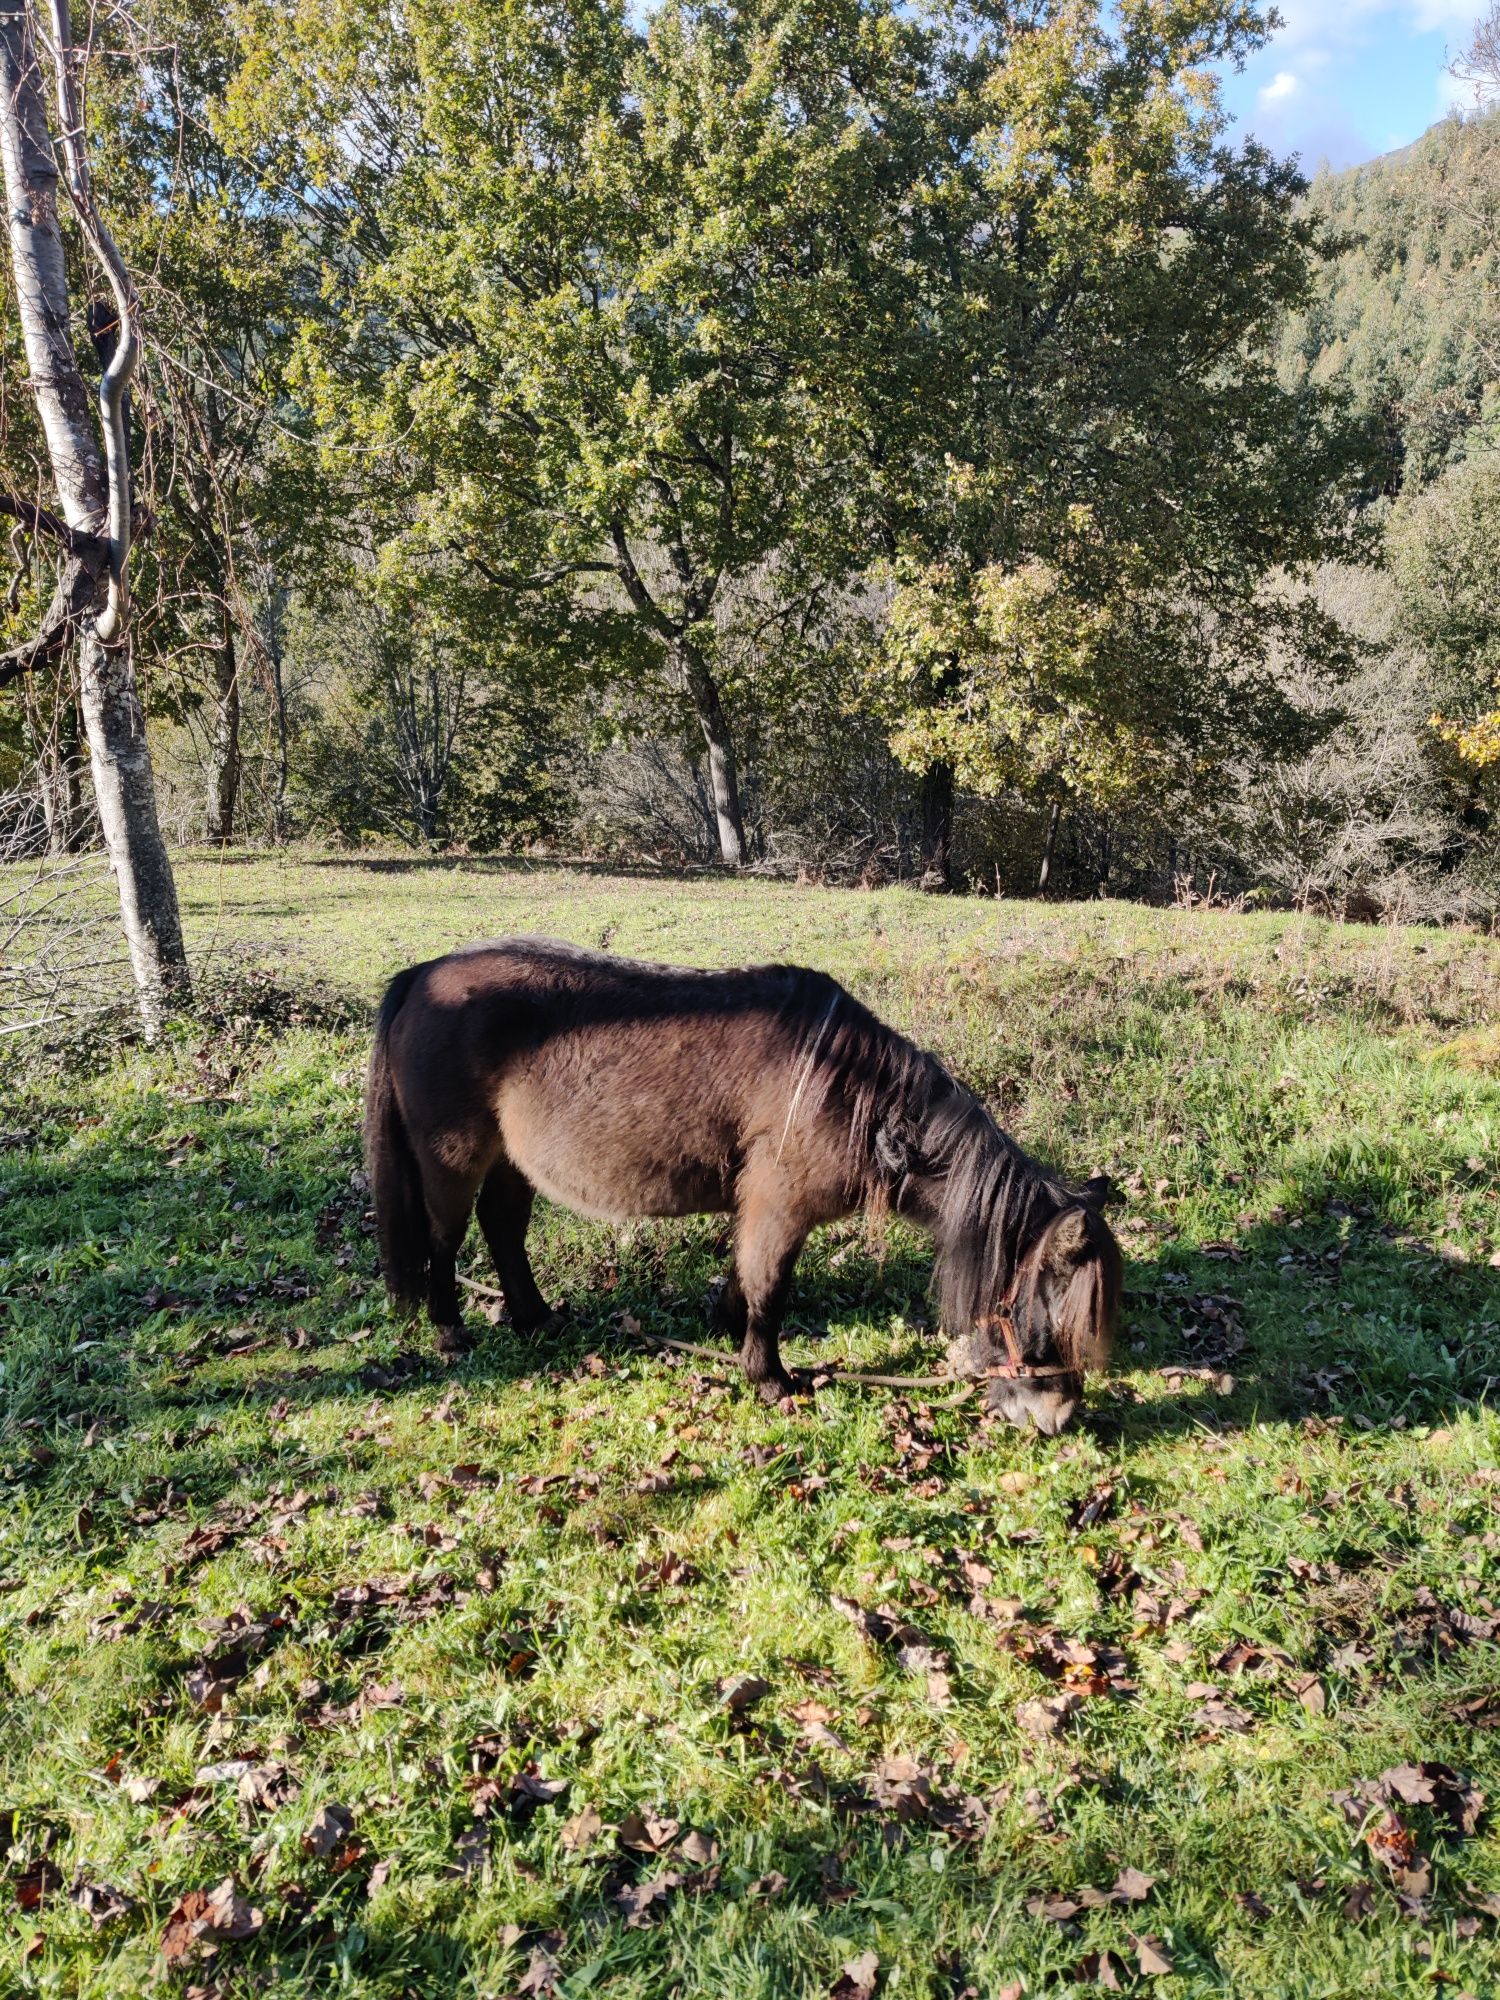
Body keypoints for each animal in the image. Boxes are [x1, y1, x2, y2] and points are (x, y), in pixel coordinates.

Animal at [362, 932, 1120, 1424]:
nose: (1058, 1417)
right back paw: (451, 1333)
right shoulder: (780, 1208)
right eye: (1047, 1308)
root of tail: (421, 974)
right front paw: (770, 1378)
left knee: (503, 1231)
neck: (851, 1091)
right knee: (444, 1242)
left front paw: (724, 1326)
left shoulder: (759, 1206)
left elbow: (742, 1275)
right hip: (453, 1159)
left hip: (511, 1162)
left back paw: (534, 1317)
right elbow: (769, 1290)